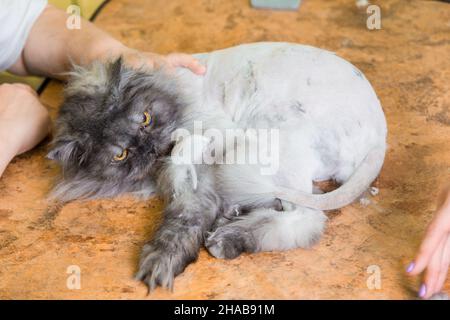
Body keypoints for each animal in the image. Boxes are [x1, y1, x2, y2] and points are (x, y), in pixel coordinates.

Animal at [48, 42, 386, 290]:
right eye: (121, 155)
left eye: (144, 118)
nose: (149, 147)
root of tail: (378, 139)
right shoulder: (200, 193)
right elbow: (179, 225)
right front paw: (163, 263)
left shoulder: (216, 136)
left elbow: (183, 155)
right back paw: (230, 220)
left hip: (266, 142)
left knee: (307, 218)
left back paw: (227, 238)